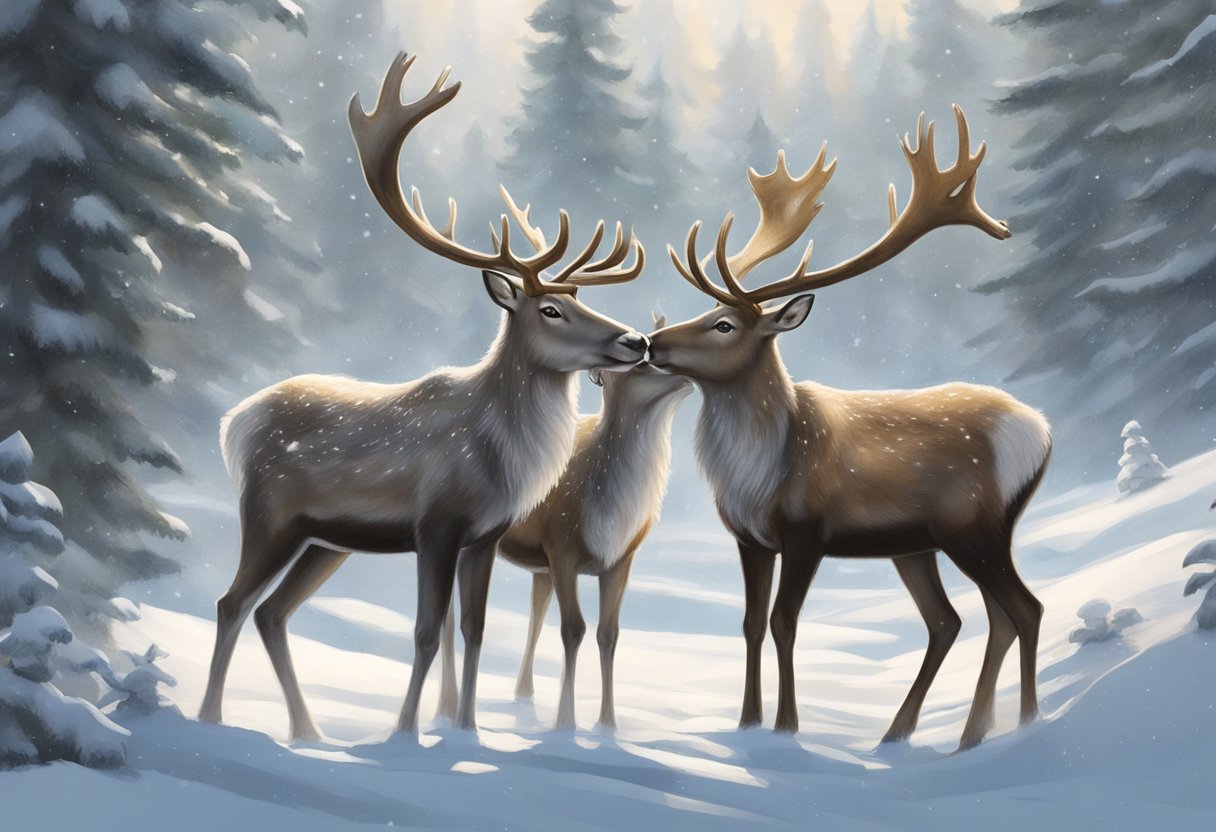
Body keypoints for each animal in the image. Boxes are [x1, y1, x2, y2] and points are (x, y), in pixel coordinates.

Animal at [197, 53, 652, 740]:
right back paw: (211, 719)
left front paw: (466, 731)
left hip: (324, 541)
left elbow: (473, 630)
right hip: (271, 514)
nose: (634, 340)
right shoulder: (435, 522)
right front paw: (405, 733)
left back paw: (308, 731)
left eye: (580, 300)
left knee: (272, 613)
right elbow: (426, 632)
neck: (502, 457)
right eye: (550, 309)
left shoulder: (484, 536)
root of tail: (233, 423)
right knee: (231, 602)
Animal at [434, 321, 694, 731]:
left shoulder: (621, 560)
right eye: (641, 362)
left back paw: (520, 695)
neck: (611, 510)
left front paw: (607, 725)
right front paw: (565, 724)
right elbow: (574, 629)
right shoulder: (562, 547)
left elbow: (609, 633)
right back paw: (446, 707)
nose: (687, 377)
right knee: (448, 615)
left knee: (533, 611)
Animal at [647, 107, 1051, 750]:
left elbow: (785, 622)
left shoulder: (807, 528)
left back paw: (1022, 725)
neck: (758, 471)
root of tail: (1040, 431)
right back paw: (926, 733)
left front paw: (786, 729)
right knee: (962, 619)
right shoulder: (748, 537)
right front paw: (745, 724)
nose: (651, 343)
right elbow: (751, 623)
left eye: (725, 325)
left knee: (1023, 609)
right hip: (920, 544)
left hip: (975, 526)